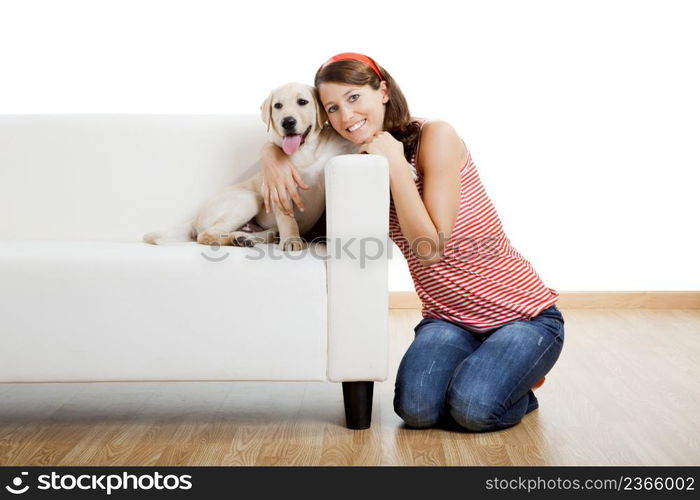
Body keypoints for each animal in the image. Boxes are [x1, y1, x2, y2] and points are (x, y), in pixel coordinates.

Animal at [144, 84, 358, 254]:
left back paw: (248, 238)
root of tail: (194, 219)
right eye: (277, 106)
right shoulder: (279, 188)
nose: (287, 122)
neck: (304, 151)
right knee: (205, 235)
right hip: (248, 200)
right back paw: (237, 239)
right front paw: (291, 240)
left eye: (303, 102)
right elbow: (288, 219)